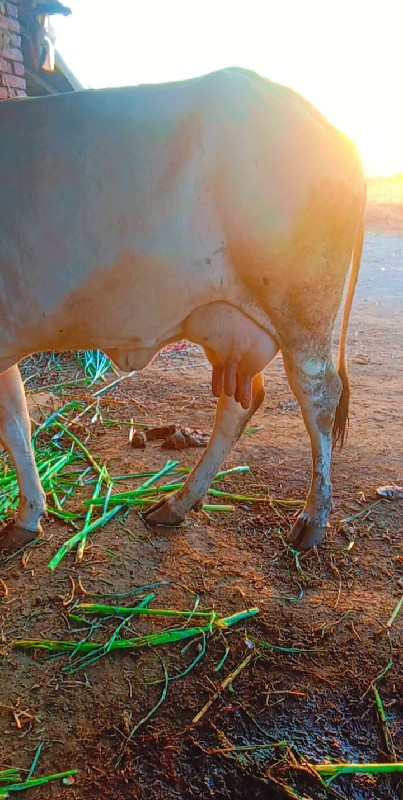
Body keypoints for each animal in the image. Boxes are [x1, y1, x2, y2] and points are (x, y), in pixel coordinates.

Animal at [0, 69, 366, 556]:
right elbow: (15, 420)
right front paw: (28, 516)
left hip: (301, 312)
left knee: (320, 397)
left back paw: (312, 519)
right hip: (230, 324)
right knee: (240, 403)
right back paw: (178, 502)